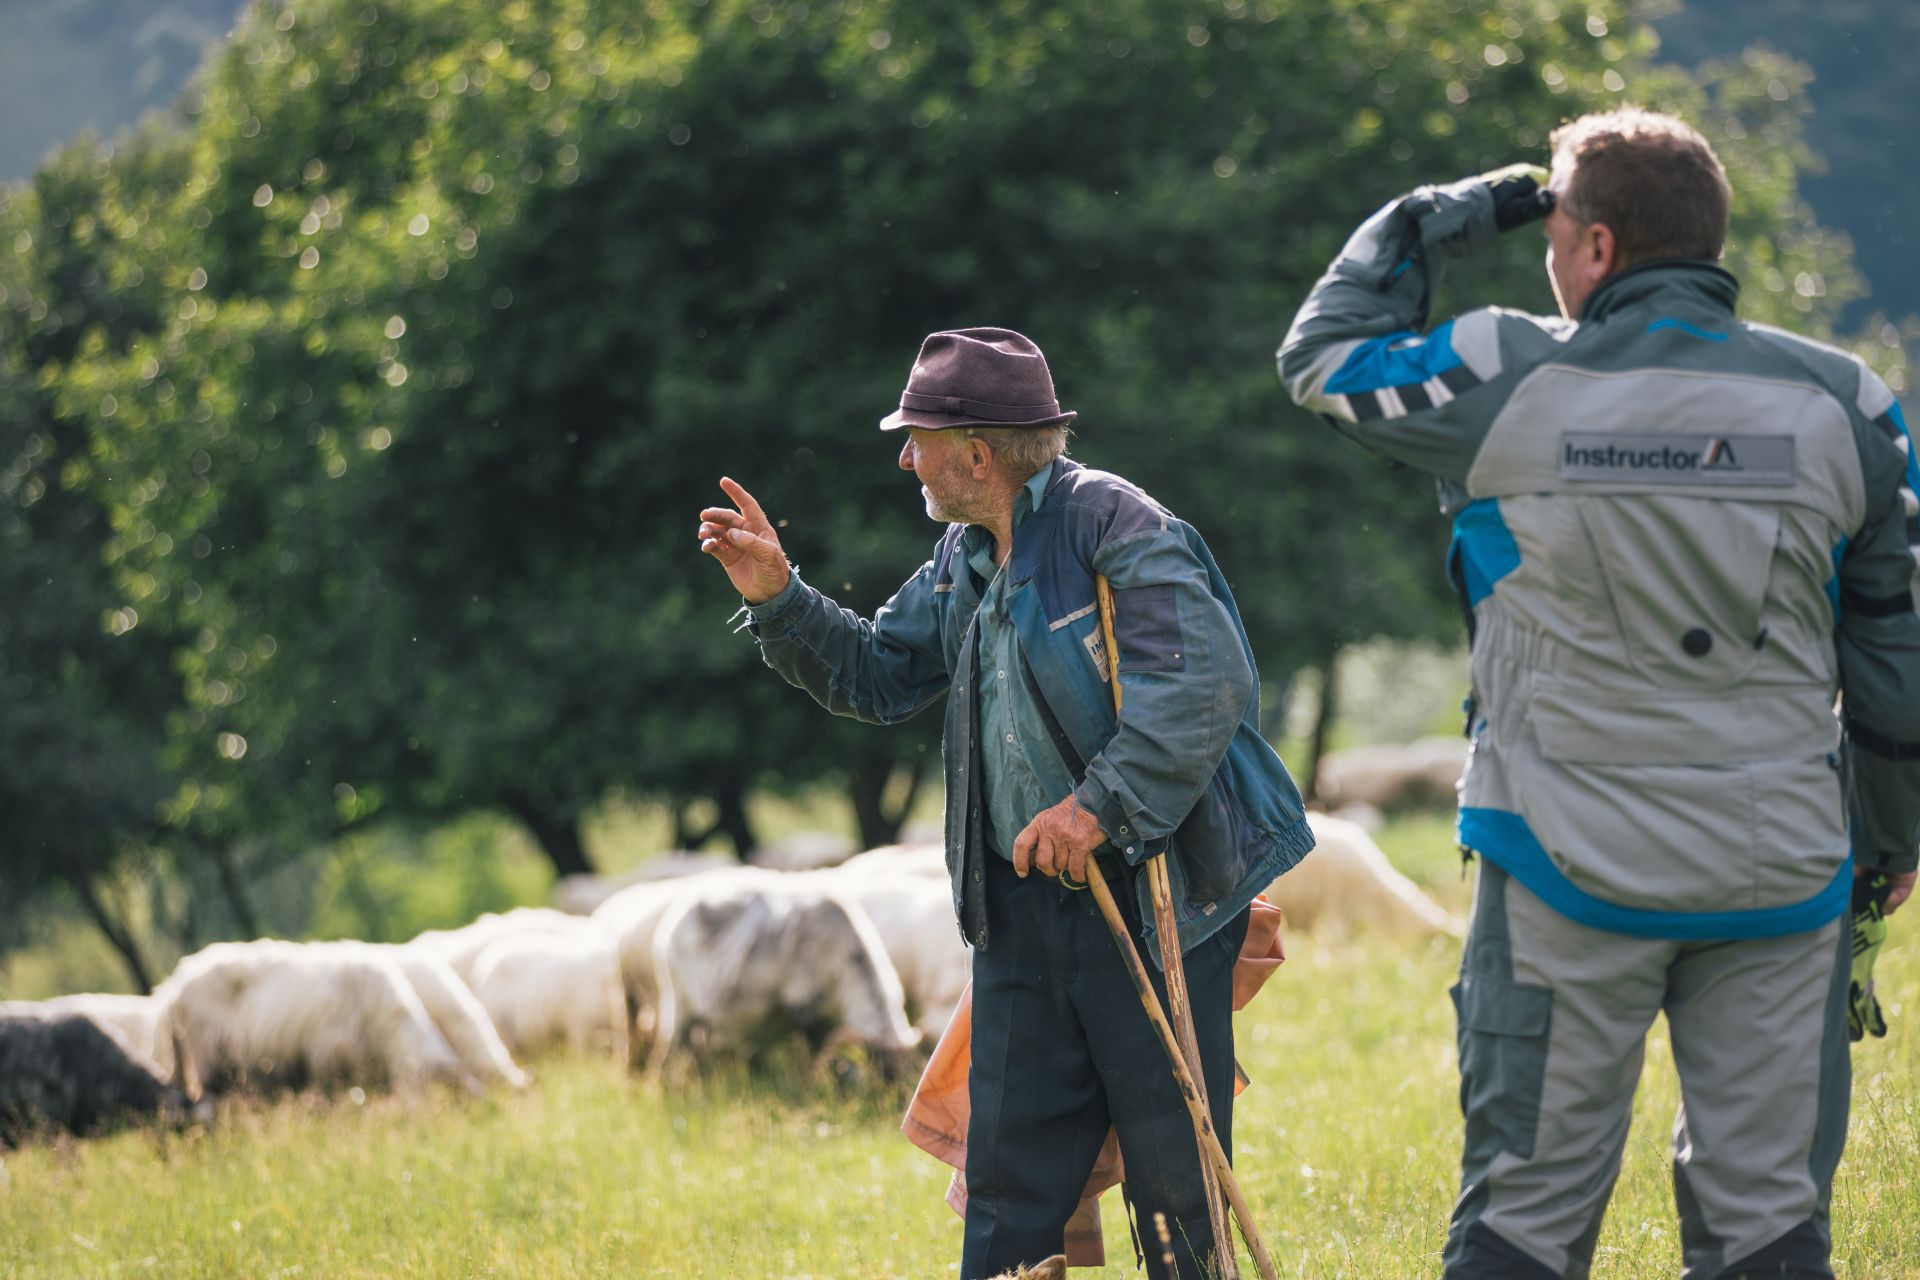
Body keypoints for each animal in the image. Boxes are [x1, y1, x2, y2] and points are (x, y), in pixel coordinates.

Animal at [648, 880, 920, 1072]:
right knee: (668, 1048)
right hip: (679, 1002)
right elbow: (814, 1050)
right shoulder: (802, 1005)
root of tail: (674, 918)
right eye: (885, 1068)